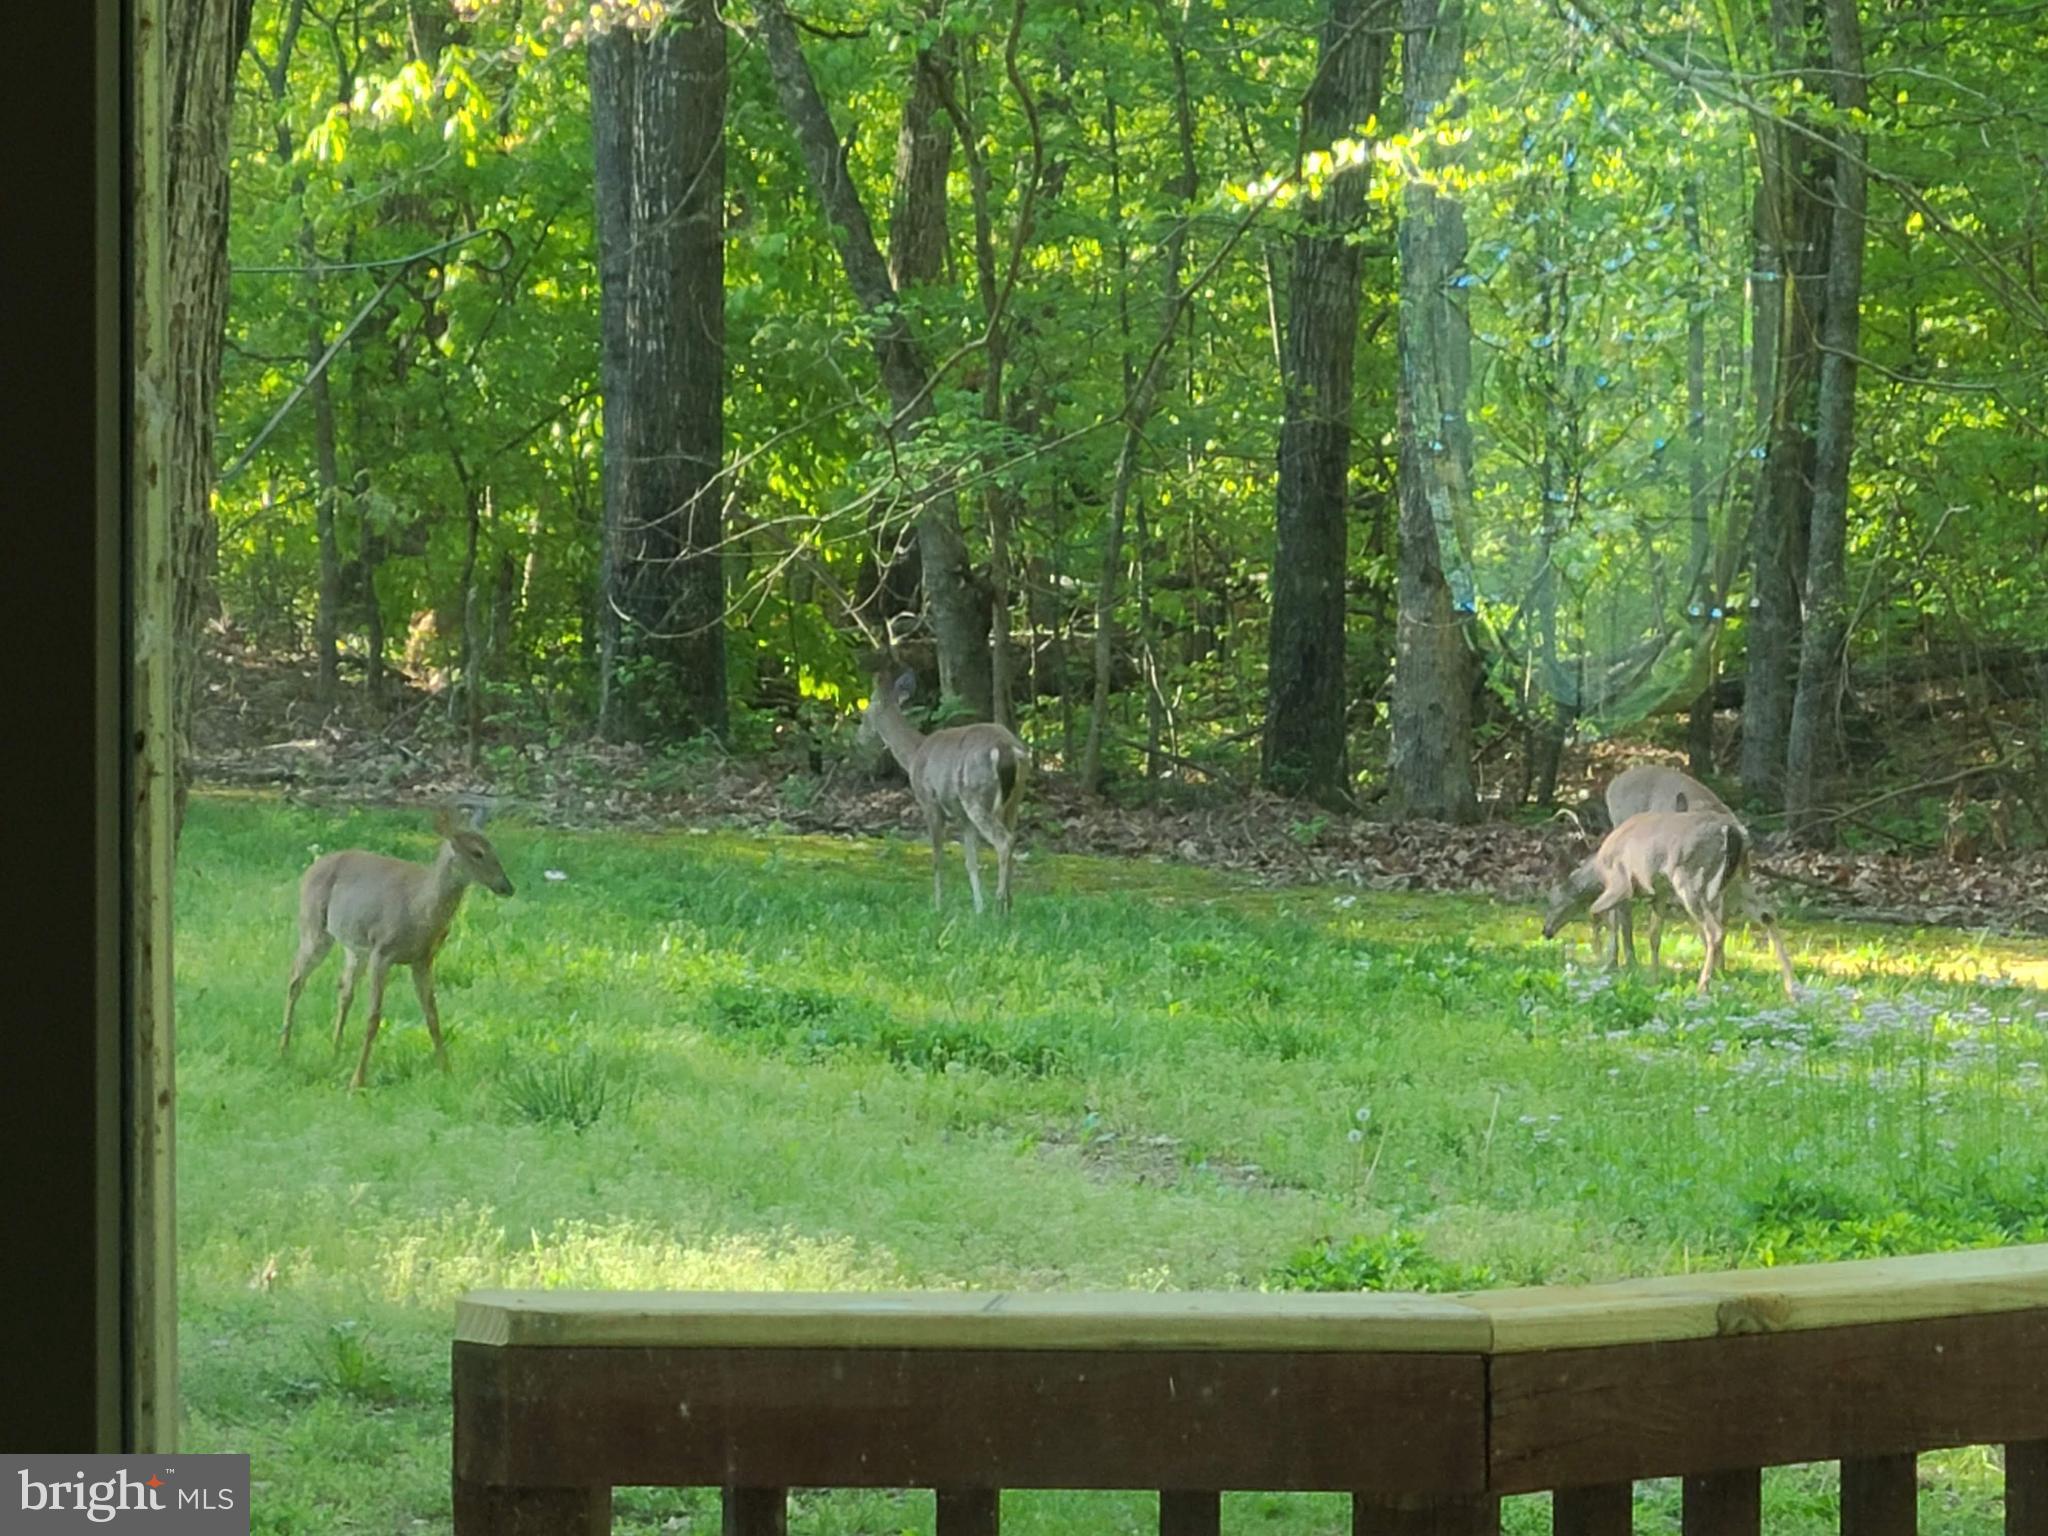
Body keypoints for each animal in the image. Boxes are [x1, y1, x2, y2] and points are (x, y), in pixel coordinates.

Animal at [281, 804, 515, 1090]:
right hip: (314, 926)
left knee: (344, 989)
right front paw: (357, 1080)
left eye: (493, 848)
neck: (419, 910)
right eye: (477, 852)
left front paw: (447, 1071)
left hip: (355, 946)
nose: (507, 886)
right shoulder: (382, 952)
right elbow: (373, 1017)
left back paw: (335, 1051)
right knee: (296, 979)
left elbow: (433, 1016)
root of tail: (310, 869)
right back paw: (284, 1050)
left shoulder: (423, 959)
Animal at [860, 666, 1027, 914]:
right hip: (1013, 800)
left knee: (1004, 841)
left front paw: (937, 906)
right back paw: (1009, 905)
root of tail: (1007, 748)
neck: (914, 753)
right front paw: (978, 909)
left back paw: (999, 906)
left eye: (863, 714)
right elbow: (971, 862)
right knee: (1013, 837)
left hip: (976, 796)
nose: (858, 737)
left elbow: (937, 857)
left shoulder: (929, 801)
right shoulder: (962, 815)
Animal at [1543, 810, 1798, 997]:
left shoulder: (1620, 884)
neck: (1599, 871)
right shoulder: (1660, 893)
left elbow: (1598, 913)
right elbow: (1654, 935)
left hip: (1690, 877)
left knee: (1715, 930)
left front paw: (1601, 960)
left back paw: (1702, 986)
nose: (1545, 931)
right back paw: (1792, 988)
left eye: (1551, 899)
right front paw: (1652, 976)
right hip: (1739, 878)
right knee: (1767, 914)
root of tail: (1734, 831)